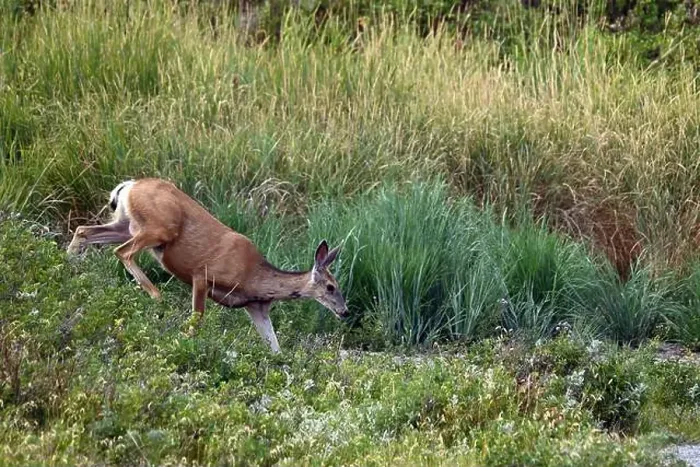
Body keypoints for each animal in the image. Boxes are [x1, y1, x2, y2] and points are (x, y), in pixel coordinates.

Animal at [66, 178, 349, 353]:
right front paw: (183, 344)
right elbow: (196, 322)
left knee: (84, 231)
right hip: (158, 228)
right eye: (331, 286)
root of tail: (129, 185)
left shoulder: (256, 308)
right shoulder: (203, 275)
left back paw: (65, 266)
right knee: (122, 251)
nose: (345, 311)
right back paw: (155, 295)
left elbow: (275, 348)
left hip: (125, 224)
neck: (254, 278)